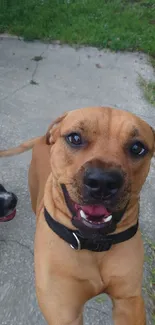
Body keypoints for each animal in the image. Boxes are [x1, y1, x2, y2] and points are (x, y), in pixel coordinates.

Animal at [0, 107, 154, 324]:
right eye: (74, 138)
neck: (93, 245)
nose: (103, 181)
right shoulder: (64, 312)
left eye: (137, 147)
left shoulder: (129, 301)